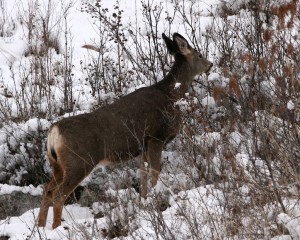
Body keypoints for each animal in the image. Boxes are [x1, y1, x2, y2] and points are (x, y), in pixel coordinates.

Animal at [37, 32, 212, 229]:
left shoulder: (143, 146)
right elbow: (154, 173)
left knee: (47, 189)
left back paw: (40, 227)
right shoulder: (156, 136)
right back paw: (56, 227)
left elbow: (143, 176)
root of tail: (54, 132)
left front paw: (144, 200)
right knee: (59, 195)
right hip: (79, 162)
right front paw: (155, 196)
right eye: (199, 54)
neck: (171, 95)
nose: (210, 64)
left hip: (58, 165)